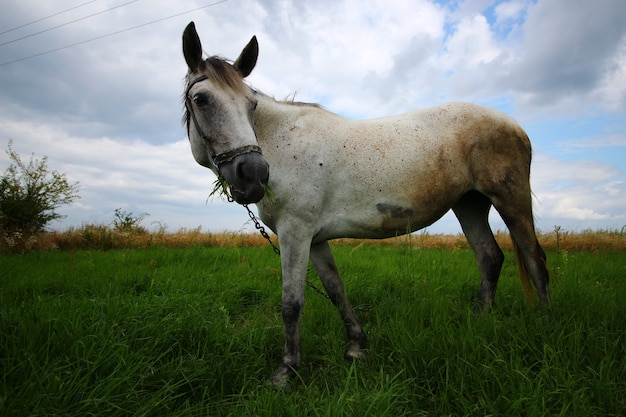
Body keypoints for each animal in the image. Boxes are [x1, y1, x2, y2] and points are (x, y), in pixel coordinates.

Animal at [182, 22, 552, 386]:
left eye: (251, 105)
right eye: (201, 100)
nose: (254, 174)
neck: (282, 142)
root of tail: (514, 125)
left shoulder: (295, 233)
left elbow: (291, 302)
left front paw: (287, 370)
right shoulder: (314, 239)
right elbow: (336, 290)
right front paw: (357, 347)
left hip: (511, 200)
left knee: (535, 259)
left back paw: (544, 326)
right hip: (469, 205)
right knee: (489, 258)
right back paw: (480, 322)